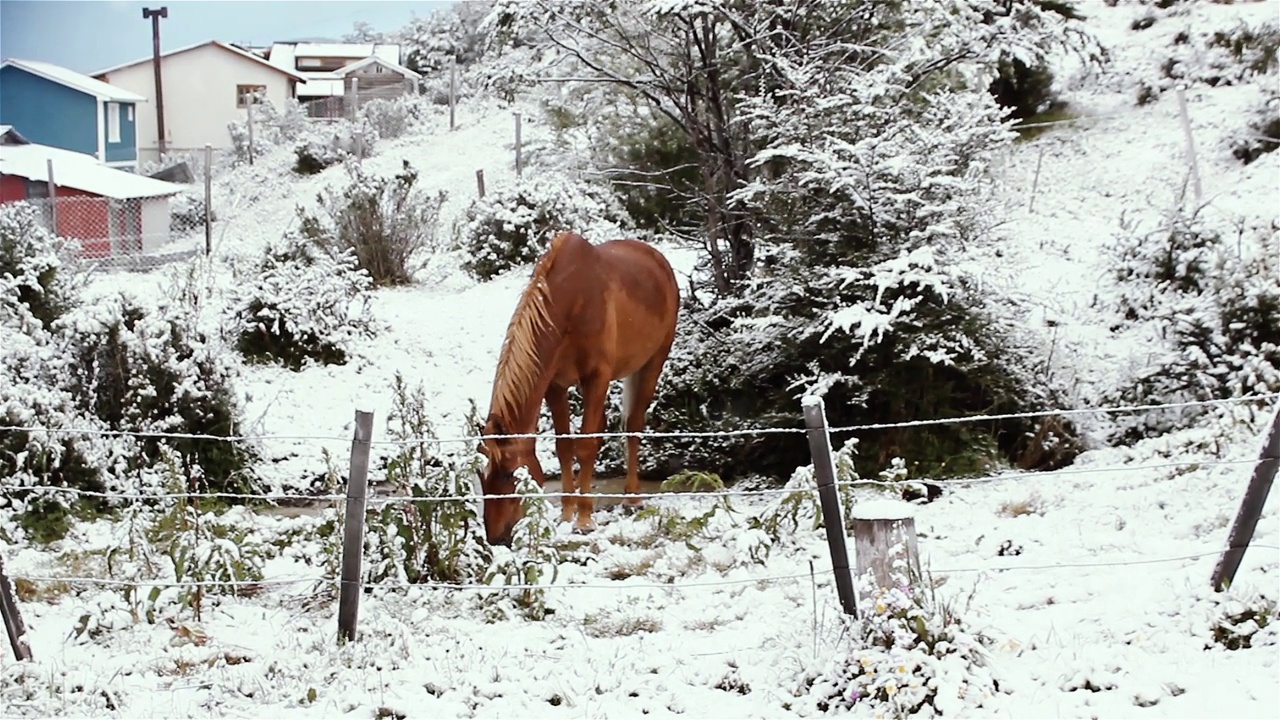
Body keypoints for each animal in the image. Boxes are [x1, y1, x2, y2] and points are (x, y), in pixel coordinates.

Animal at [478, 229, 680, 543]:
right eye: (484, 475)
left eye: (511, 474)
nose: (496, 537)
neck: (571, 301)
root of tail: (659, 262)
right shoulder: (555, 386)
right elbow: (564, 447)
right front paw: (565, 514)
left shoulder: (595, 379)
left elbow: (585, 446)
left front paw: (584, 520)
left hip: (653, 362)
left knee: (633, 425)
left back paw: (632, 497)